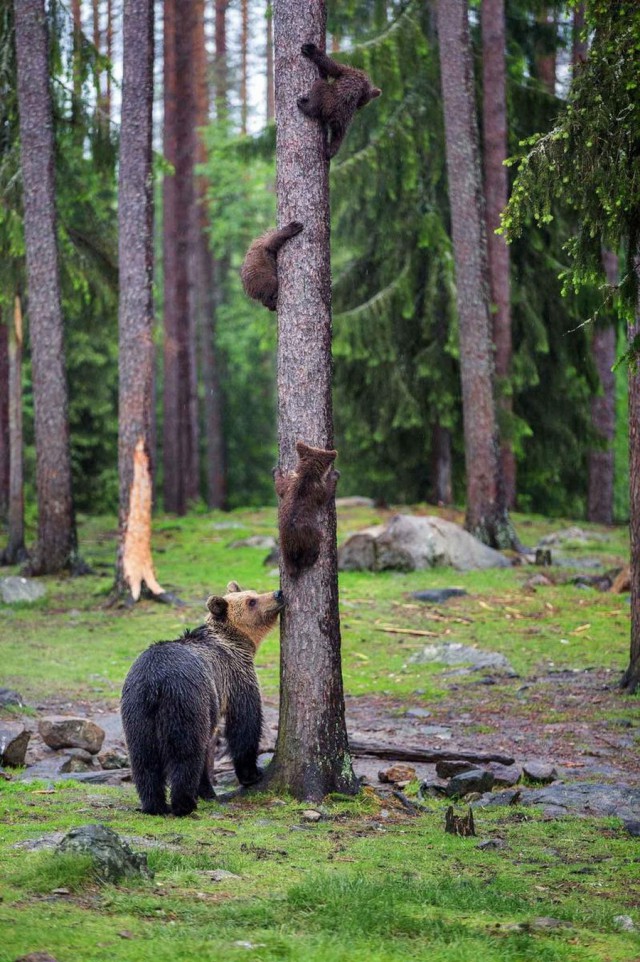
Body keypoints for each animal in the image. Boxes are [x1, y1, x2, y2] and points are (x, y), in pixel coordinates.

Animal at [119, 580, 282, 812]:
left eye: (253, 593)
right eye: (252, 601)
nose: (278, 593)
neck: (236, 641)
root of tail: (154, 683)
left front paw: (207, 789)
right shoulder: (235, 677)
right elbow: (244, 722)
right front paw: (251, 774)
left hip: (136, 709)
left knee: (144, 759)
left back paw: (154, 804)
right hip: (185, 702)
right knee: (185, 755)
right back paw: (184, 804)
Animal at [272, 440, 338, 576]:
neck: (307, 474)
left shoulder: (289, 483)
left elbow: (280, 486)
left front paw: (275, 470)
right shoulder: (317, 490)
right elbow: (326, 494)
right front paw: (334, 474)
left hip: (282, 539)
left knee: (287, 559)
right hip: (310, 534)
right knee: (312, 547)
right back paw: (312, 558)